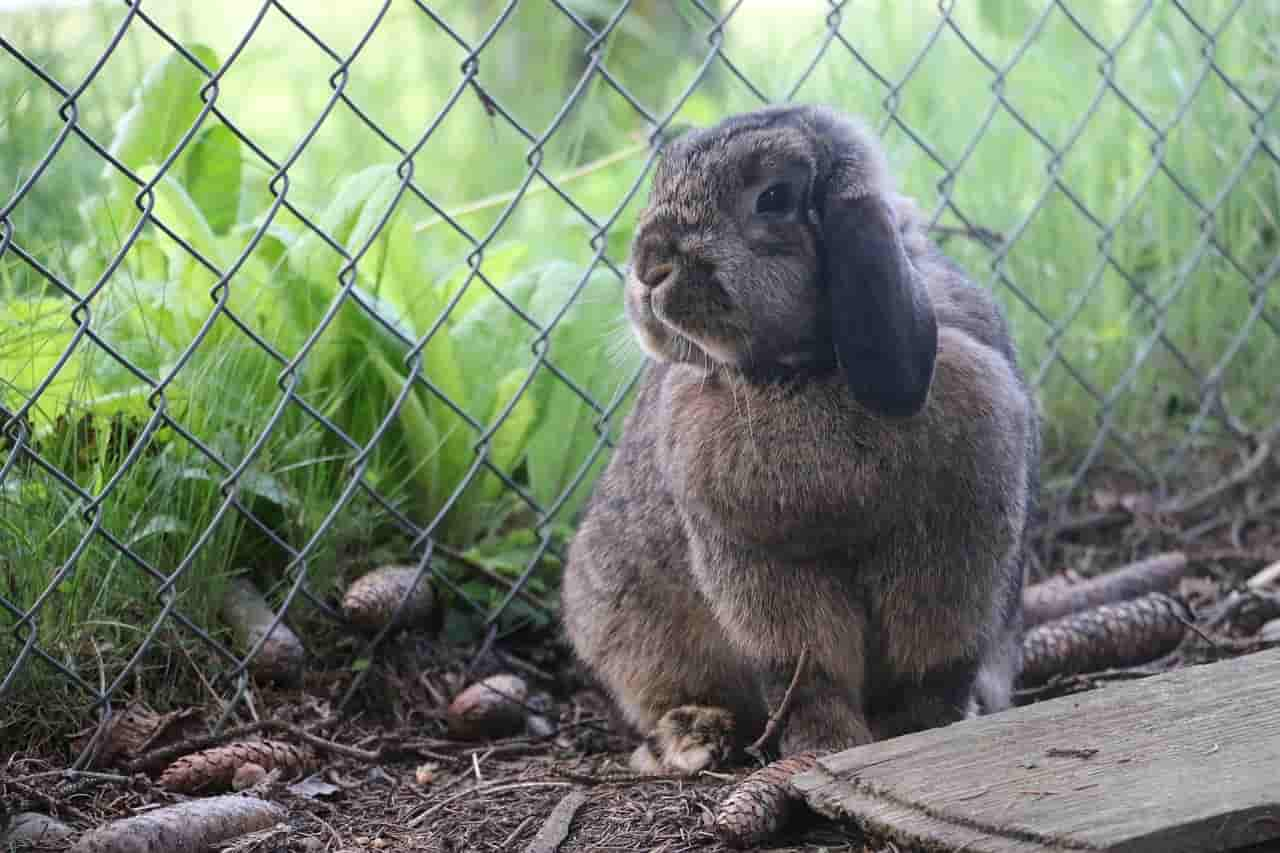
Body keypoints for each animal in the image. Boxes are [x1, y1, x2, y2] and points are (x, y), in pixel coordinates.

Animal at [560, 103, 1039, 773]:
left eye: (774, 197)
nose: (648, 270)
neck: (804, 370)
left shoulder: (953, 556)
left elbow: (930, 669)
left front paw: (920, 734)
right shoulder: (763, 570)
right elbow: (806, 674)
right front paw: (826, 747)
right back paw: (691, 740)